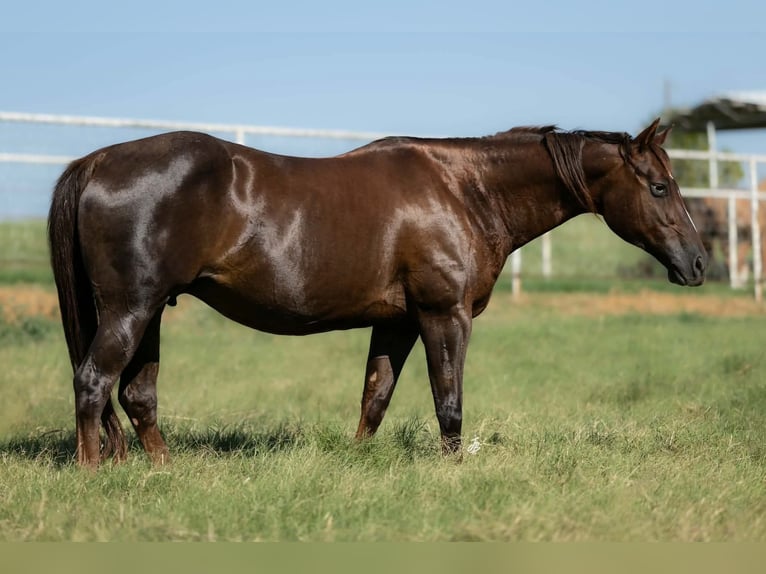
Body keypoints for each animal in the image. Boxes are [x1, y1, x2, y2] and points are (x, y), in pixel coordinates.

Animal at [48, 118, 706, 468]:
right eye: (658, 186)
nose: (699, 264)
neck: (463, 189)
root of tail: (97, 161)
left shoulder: (397, 322)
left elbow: (375, 397)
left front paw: (360, 462)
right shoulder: (445, 316)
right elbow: (448, 400)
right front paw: (452, 468)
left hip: (151, 312)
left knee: (137, 395)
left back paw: (161, 471)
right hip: (131, 310)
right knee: (93, 382)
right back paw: (92, 474)